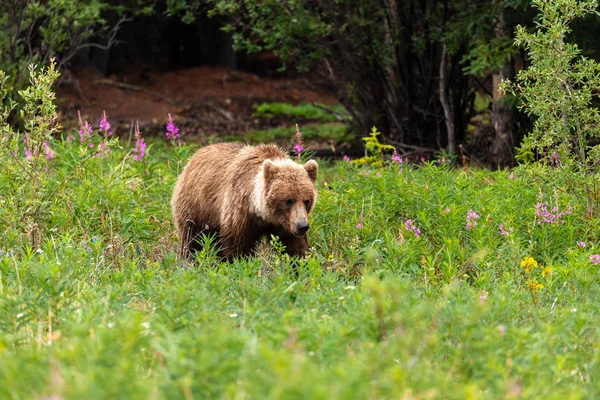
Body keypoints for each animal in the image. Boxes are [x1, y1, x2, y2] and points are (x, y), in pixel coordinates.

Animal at [170, 143, 318, 260]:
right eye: (288, 200)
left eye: (307, 200)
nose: (302, 226)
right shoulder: (240, 210)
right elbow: (237, 246)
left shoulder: (285, 224)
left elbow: (295, 245)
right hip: (197, 206)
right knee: (193, 238)